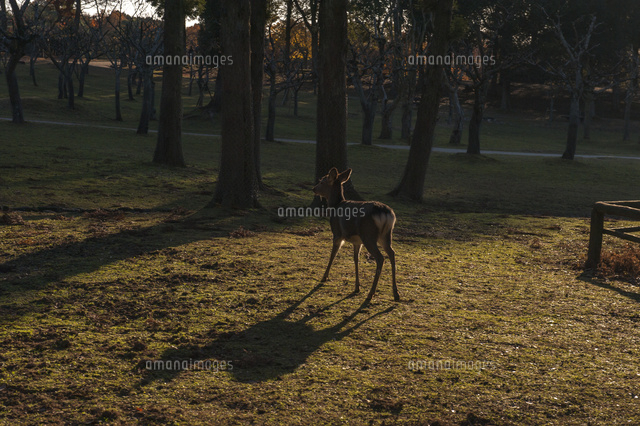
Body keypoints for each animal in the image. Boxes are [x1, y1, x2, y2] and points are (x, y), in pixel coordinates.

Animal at [313, 167, 399, 302]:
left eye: (322, 181)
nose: (314, 189)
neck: (335, 206)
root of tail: (385, 214)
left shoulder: (337, 234)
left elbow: (333, 255)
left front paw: (324, 277)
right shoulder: (357, 242)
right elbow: (355, 259)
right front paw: (357, 287)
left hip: (369, 235)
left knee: (380, 258)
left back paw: (371, 293)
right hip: (386, 235)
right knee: (392, 253)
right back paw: (395, 293)